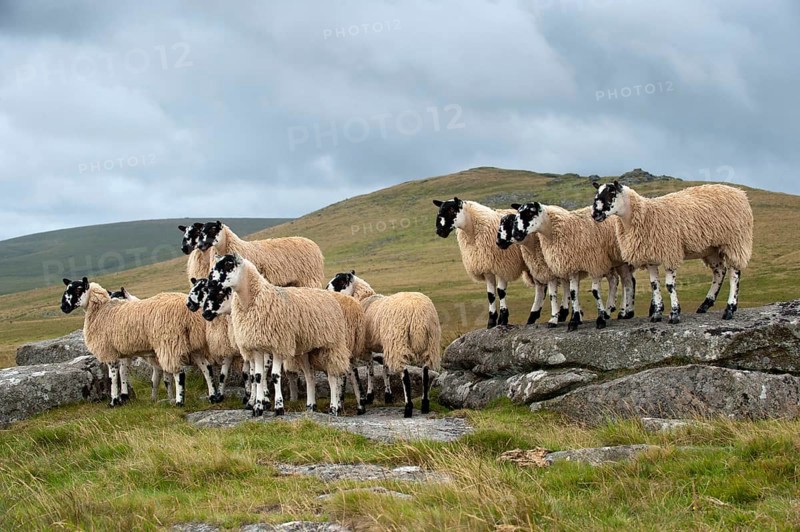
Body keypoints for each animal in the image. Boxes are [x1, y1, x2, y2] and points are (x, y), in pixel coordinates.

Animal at [60, 278, 219, 407]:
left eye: (78, 289)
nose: (63, 307)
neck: (101, 310)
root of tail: (190, 314)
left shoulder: (109, 351)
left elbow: (113, 377)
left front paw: (113, 401)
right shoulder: (123, 352)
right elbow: (124, 373)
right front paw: (123, 397)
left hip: (169, 342)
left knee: (179, 372)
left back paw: (180, 402)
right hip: (194, 343)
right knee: (207, 368)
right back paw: (212, 397)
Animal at [204, 254, 351, 417]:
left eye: (228, 265)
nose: (210, 283)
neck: (254, 299)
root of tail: (326, 293)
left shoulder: (279, 344)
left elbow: (274, 376)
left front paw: (278, 407)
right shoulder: (256, 346)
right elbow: (258, 376)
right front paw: (258, 408)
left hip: (331, 344)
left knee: (332, 376)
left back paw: (334, 408)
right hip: (305, 350)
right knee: (310, 376)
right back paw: (311, 406)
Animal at [327, 271, 441, 418]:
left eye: (340, 282)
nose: (326, 289)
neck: (363, 299)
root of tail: (419, 315)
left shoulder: (365, 347)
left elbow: (370, 369)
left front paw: (369, 396)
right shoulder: (385, 345)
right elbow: (385, 369)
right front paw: (388, 395)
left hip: (399, 343)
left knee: (405, 376)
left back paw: (408, 408)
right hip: (428, 345)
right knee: (425, 372)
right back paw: (425, 405)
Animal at [433, 198, 525, 328]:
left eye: (451, 210)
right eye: (439, 210)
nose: (439, 231)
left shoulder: (503, 265)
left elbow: (501, 291)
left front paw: (503, 320)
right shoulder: (486, 267)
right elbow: (490, 295)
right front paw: (491, 322)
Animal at [591, 181, 753, 322]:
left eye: (612, 193)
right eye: (597, 194)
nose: (595, 214)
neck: (645, 215)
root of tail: (740, 193)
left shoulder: (670, 252)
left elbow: (669, 285)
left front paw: (674, 314)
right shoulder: (651, 256)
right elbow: (654, 285)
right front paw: (657, 314)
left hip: (734, 241)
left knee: (734, 273)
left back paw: (729, 309)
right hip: (710, 248)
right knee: (719, 271)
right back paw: (705, 304)